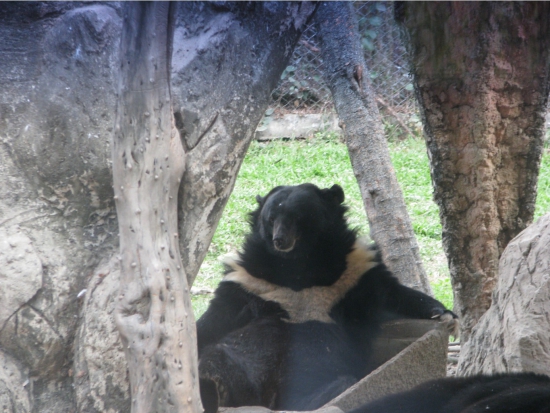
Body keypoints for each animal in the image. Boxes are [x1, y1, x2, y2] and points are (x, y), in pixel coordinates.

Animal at [197, 184, 458, 412]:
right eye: (271, 219)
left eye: (297, 217)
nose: (280, 240)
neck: (298, 263)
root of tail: (270, 399)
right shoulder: (250, 280)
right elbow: (217, 317)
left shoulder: (355, 271)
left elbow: (392, 294)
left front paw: (445, 317)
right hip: (241, 365)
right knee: (218, 359)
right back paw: (212, 387)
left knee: (333, 383)